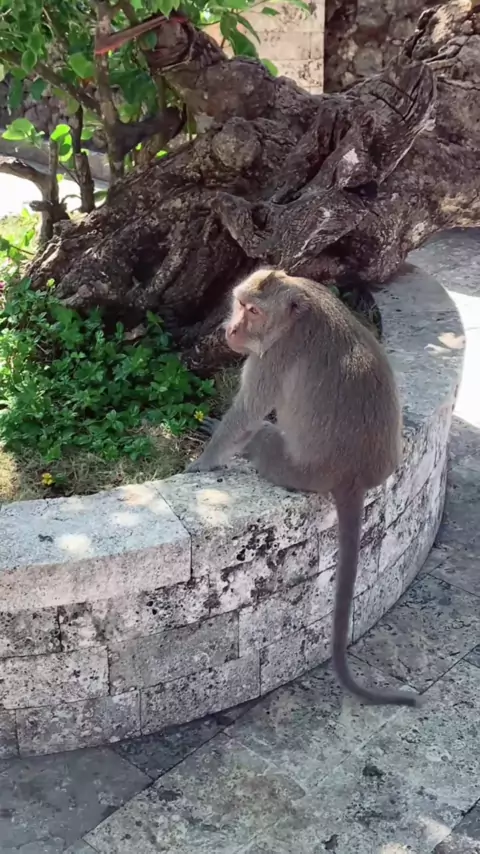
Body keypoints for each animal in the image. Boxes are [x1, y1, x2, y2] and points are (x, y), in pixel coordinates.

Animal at [186, 268, 420, 708]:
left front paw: (202, 462)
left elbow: (246, 416)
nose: (233, 329)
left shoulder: (273, 357)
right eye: (240, 304)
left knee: (263, 436)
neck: (293, 315)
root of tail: (354, 476)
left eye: (254, 312)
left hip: (295, 467)